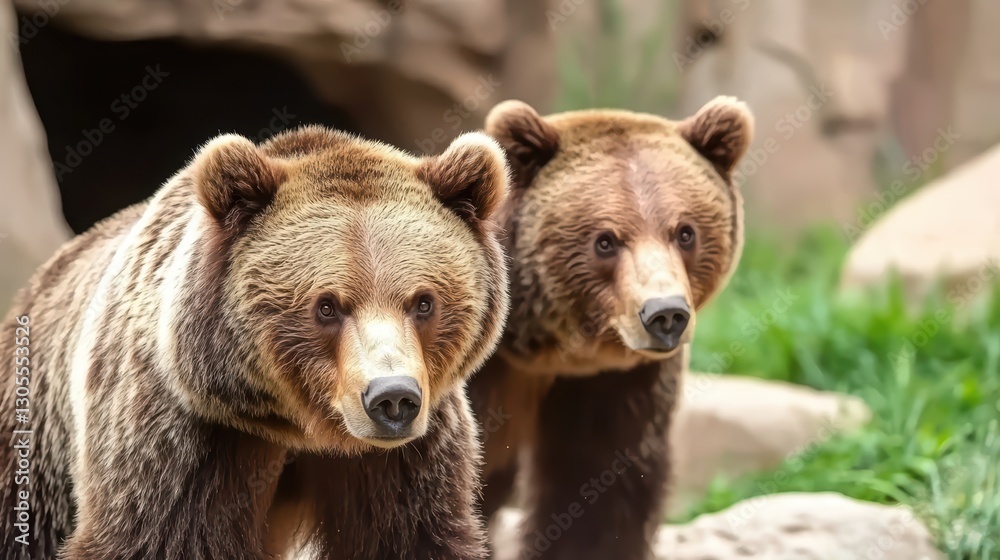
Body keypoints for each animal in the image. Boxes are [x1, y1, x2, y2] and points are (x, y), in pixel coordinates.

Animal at [0, 125, 511, 560]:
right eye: (327, 306)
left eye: (424, 302)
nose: (392, 398)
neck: (299, 427)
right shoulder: (182, 437)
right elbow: (156, 537)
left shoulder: (409, 460)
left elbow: (413, 536)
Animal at [468, 96, 753, 559]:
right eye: (605, 240)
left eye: (685, 232)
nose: (665, 314)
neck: (539, 353)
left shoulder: (610, 385)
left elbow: (596, 493)